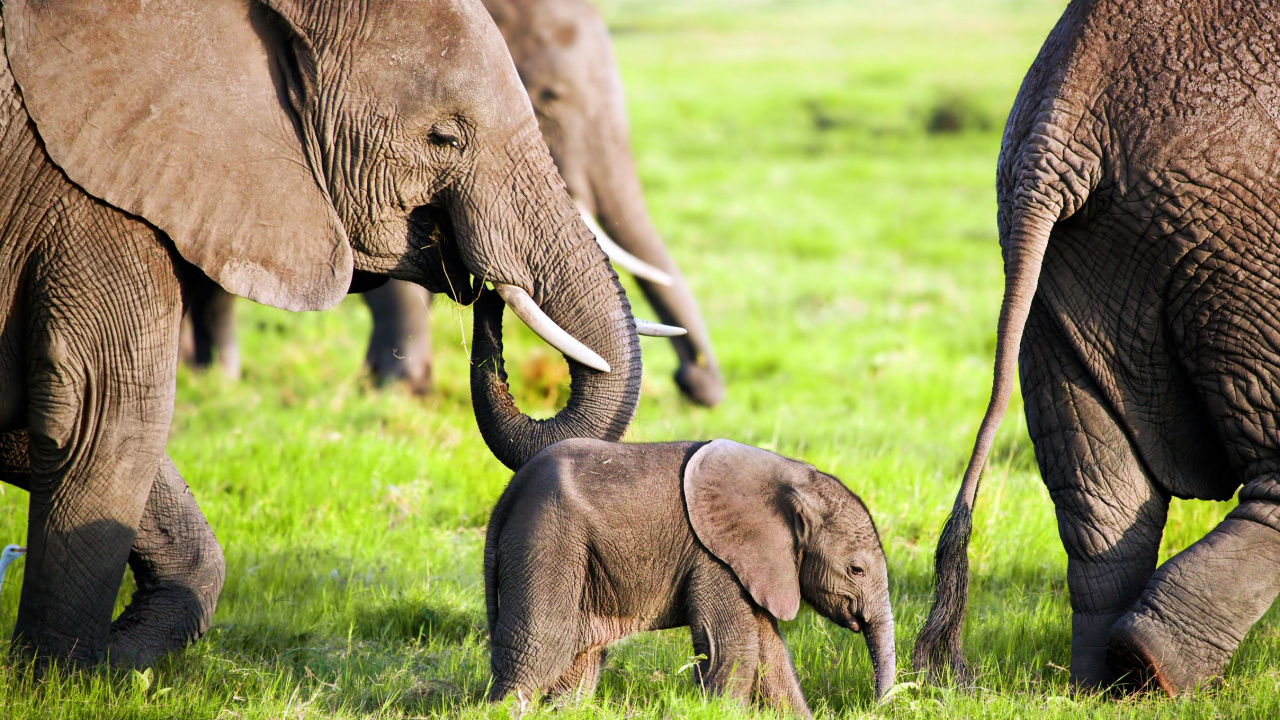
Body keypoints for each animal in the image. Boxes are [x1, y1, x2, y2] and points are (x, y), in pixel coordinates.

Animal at [0, 0, 653, 665]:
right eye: (444, 137)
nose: (481, 286)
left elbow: (42, 424)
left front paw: (113, 659)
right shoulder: (89, 195)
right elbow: (108, 412)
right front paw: (64, 675)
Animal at [484, 438, 896, 713]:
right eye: (856, 570)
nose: (873, 706)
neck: (794, 477)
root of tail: (507, 495)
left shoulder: (754, 564)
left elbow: (770, 654)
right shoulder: (716, 558)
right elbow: (733, 647)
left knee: (578, 658)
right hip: (547, 537)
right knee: (542, 645)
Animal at [914, 0, 1280, 695]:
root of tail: (1061, 121)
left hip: (1067, 256)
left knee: (1098, 489)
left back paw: (1110, 680)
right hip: (1240, 245)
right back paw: (1154, 670)